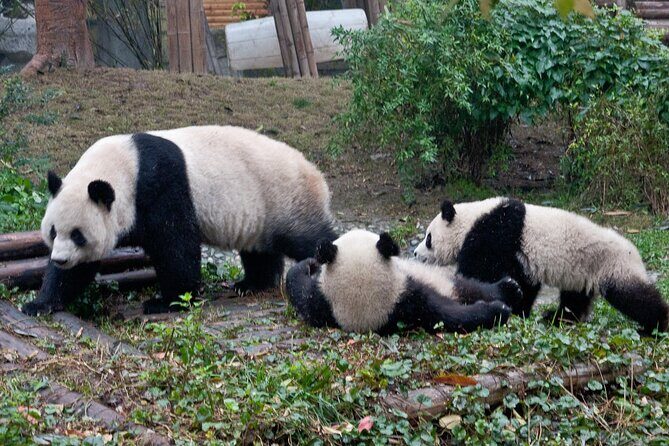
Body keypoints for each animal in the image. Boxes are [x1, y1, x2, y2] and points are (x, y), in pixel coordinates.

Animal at [22, 125, 336, 315]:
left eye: (78, 234)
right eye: (53, 232)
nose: (60, 258)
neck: (125, 164)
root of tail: (317, 174)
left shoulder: (160, 184)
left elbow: (176, 245)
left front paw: (166, 301)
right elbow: (79, 270)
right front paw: (41, 303)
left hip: (286, 200)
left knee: (309, 239)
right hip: (260, 212)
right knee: (259, 251)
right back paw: (251, 284)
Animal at [285, 229, 521, 335]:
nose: (314, 262)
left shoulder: (321, 303)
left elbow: (299, 289)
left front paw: (309, 264)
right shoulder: (411, 303)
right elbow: (448, 316)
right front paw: (496, 311)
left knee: (467, 286)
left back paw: (510, 287)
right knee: (468, 289)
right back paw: (508, 292)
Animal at [413, 197, 669, 335]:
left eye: (428, 238)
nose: (415, 253)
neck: (472, 219)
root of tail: (634, 251)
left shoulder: (496, 233)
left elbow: (479, 270)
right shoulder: (519, 254)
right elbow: (525, 283)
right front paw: (519, 308)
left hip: (612, 265)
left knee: (634, 296)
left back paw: (655, 326)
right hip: (582, 273)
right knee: (575, 300)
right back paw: (555, 317)